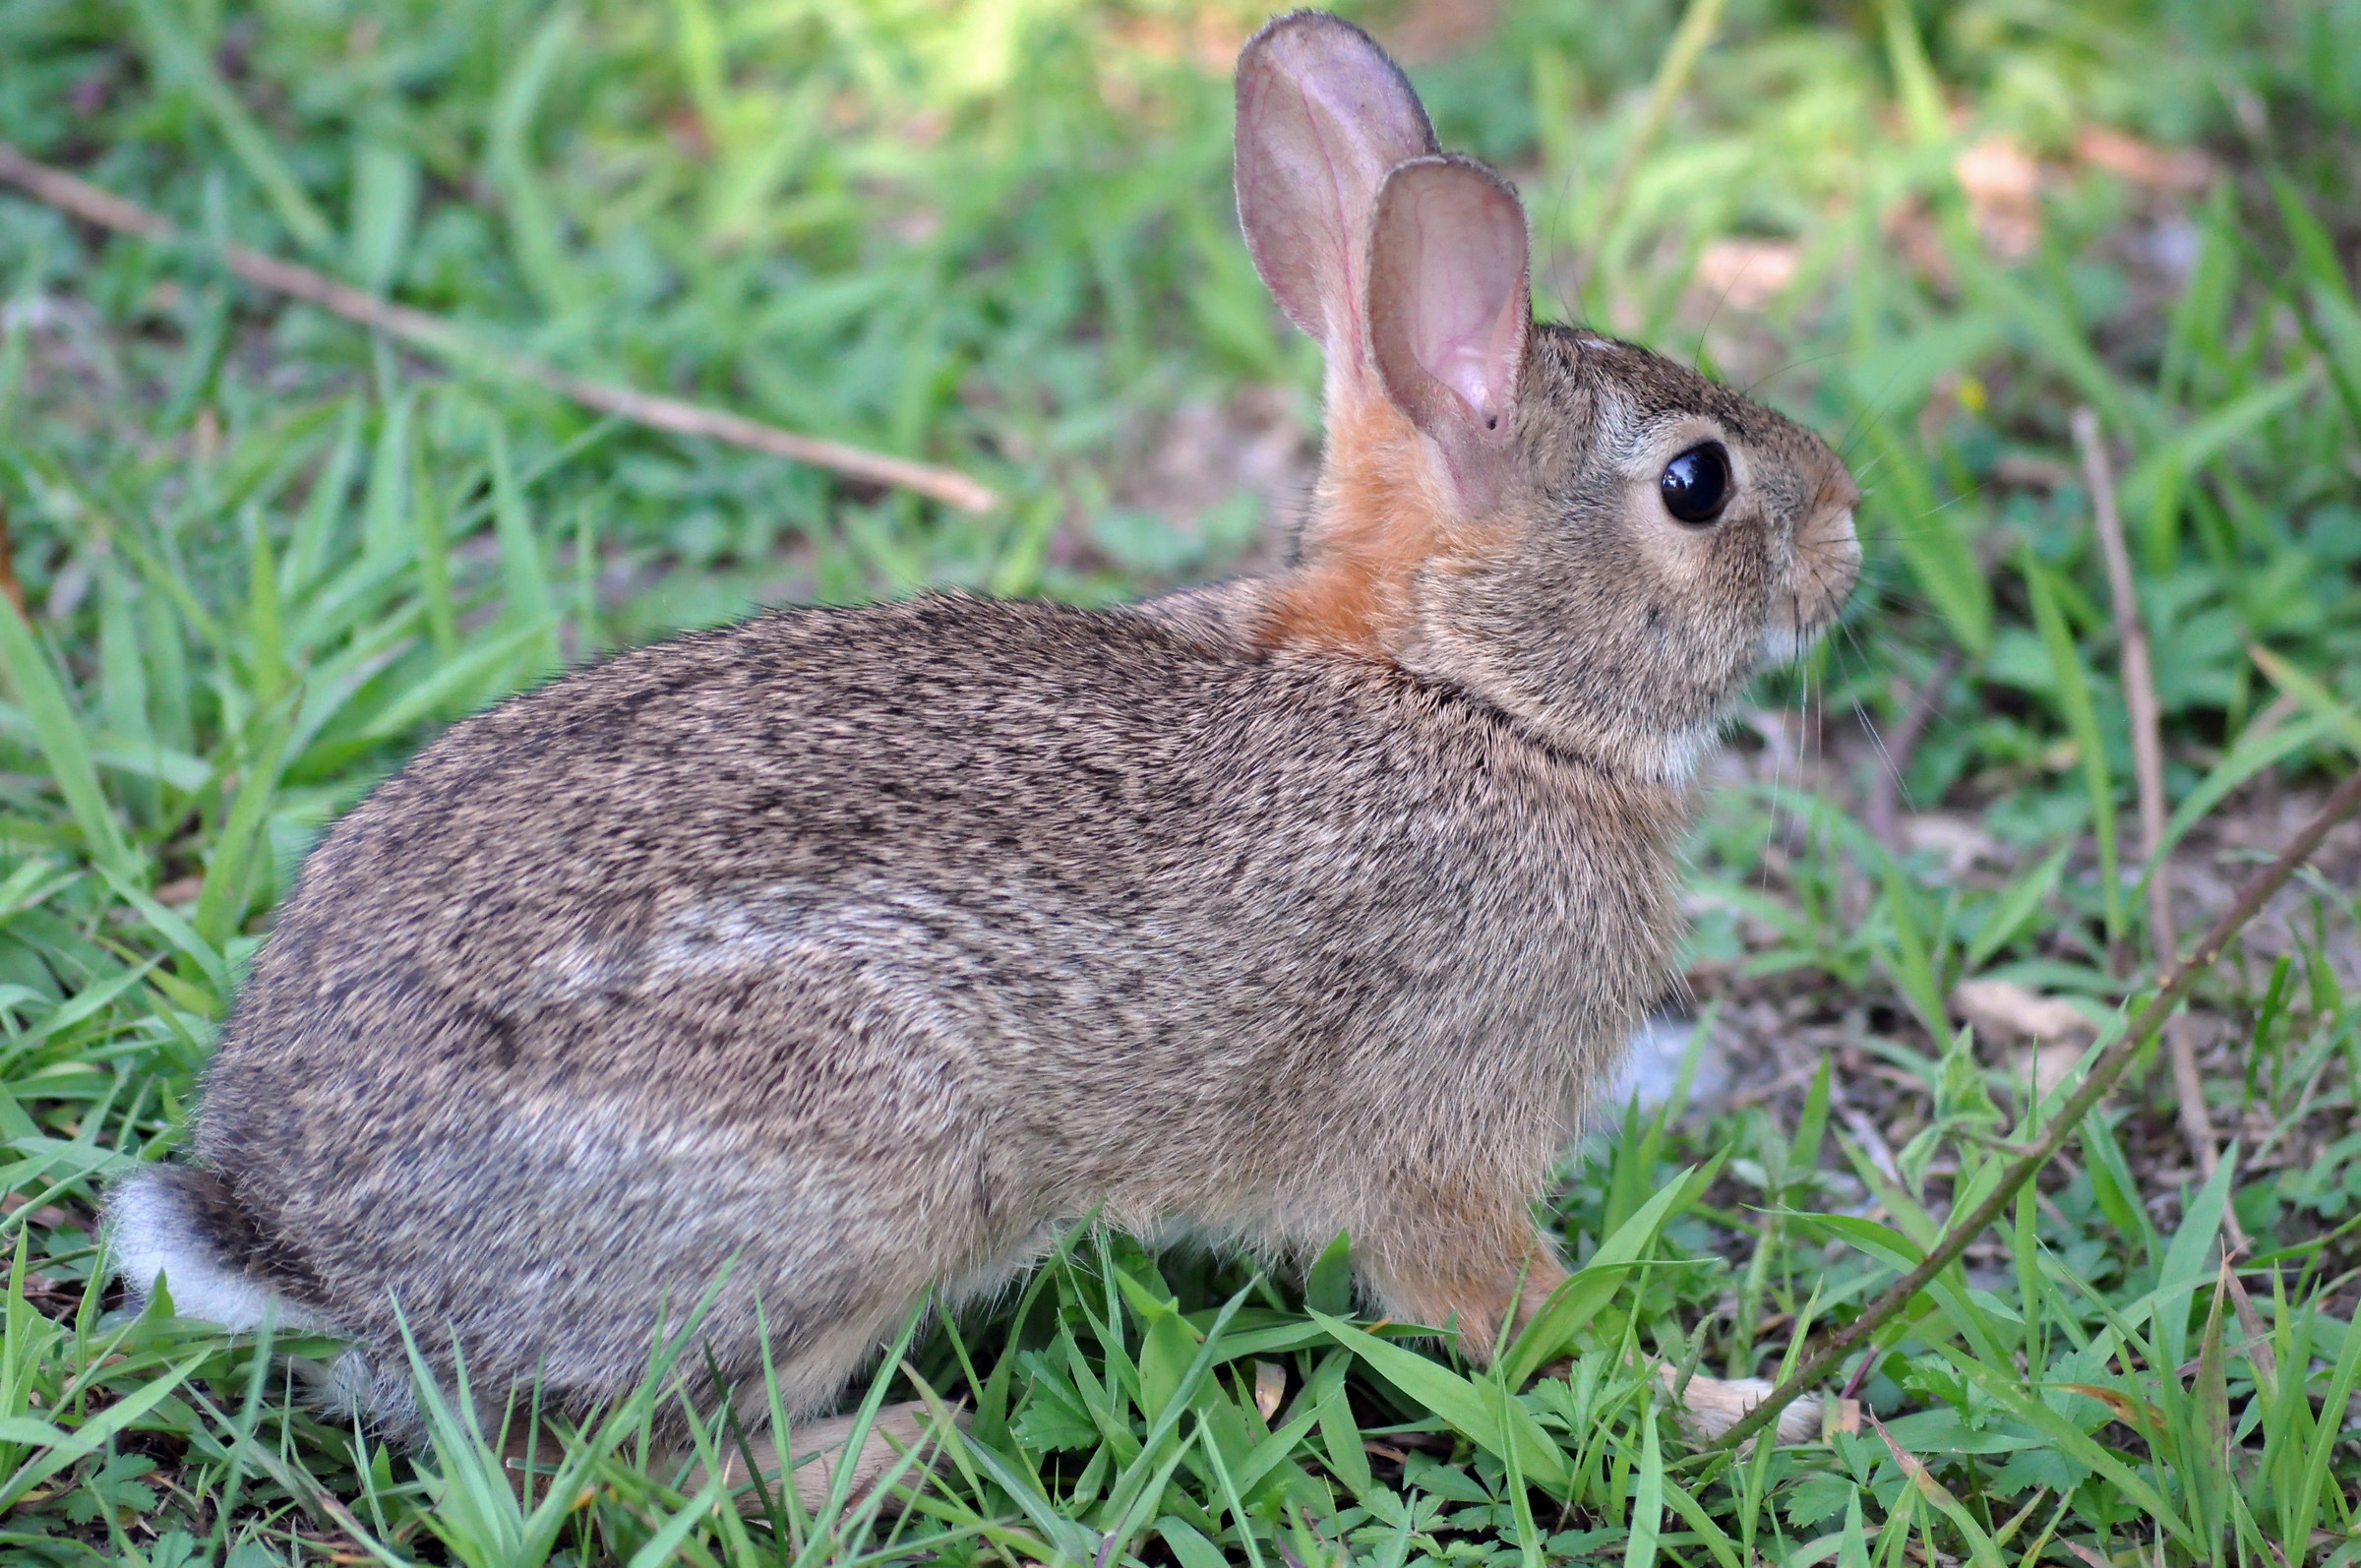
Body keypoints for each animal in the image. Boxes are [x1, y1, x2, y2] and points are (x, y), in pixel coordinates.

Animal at [107, 8, 1860, 1503]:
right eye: (1697, 485)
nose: (1847, 534)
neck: (1468, 689)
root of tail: (301, 1241)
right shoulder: (1448, 1131)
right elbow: (1520, 1315)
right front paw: (1745, 1406)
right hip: (862, 1175)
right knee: (610, 1461)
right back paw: (901, 1446)